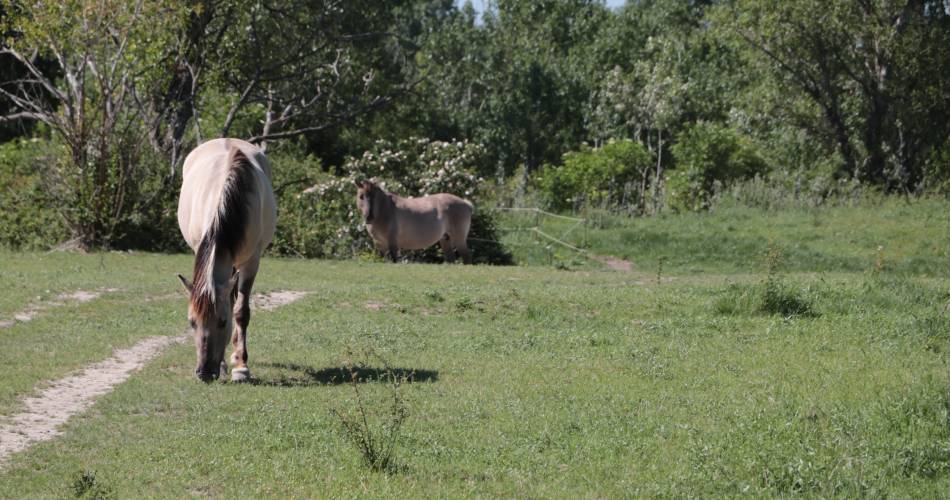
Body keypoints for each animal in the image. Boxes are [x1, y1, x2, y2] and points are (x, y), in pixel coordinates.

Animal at [177, 139, 278, 380]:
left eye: (223, 322)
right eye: (192, 322)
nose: (204, 373)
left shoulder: (251, 262)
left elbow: (240, 312)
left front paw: (241, 367)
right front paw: (224, 364)